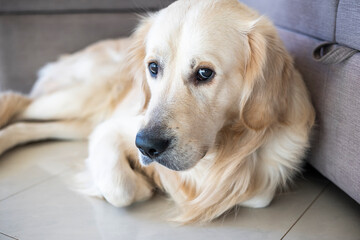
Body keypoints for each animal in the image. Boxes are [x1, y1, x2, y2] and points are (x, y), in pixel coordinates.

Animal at [0, 0, 314, 223]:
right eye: (153, 67)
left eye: (204, 73)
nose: (146, 147)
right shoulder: (114, 129)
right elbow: (119, 187)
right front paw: (142, 182)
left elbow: (254, 195)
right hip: (85, 97)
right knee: (20, 103)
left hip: (81, 121)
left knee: (27, 125)